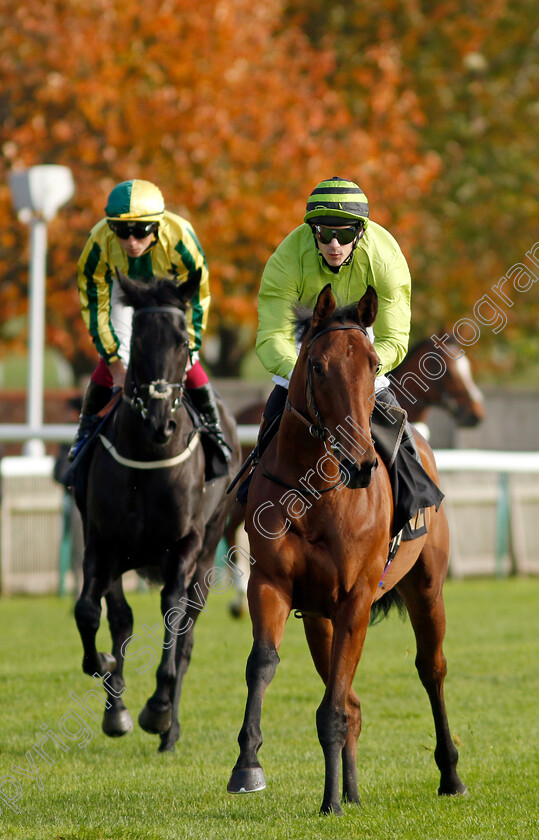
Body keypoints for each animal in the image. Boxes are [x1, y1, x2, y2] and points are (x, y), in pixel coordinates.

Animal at [73, 270, 242, 756]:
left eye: (184, 342)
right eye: (140, 341)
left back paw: (169, 728)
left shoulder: (184, 544)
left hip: (209, 547)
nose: (161, 422)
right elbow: (89, 613)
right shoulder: (102, 542)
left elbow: (173, 613)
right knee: (119, 619)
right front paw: (107, 673)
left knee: (186, 632)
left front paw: (159, 708)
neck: (149, 455)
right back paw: (117, 708)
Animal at [228, 284, 468, 812]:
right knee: (352, 701)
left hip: (426, 590)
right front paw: (248, 765)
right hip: (319, 618)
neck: (315, 493)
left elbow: (333, 706)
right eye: (317, 366)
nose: (360, 464)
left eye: (374, 364)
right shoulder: (272, 585)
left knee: (431, 669)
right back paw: (352, 791)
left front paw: (330, 803)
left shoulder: (356, 598)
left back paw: (450, 774)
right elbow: (262, 663)